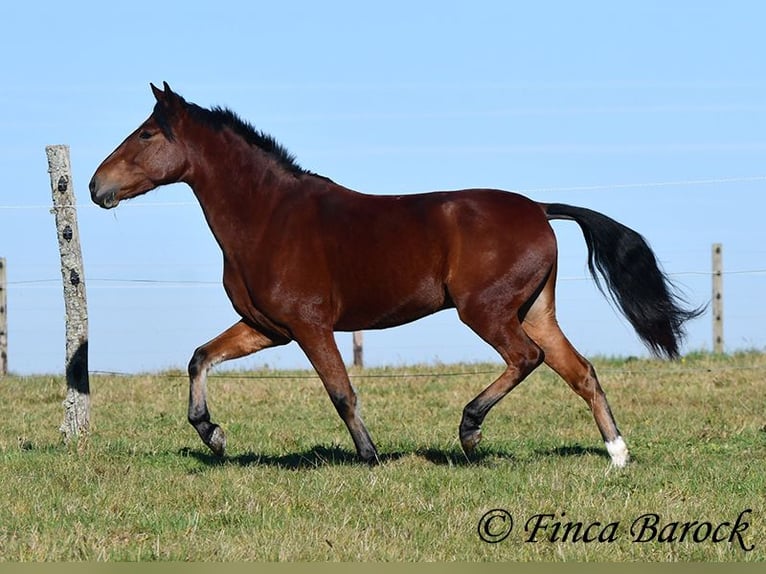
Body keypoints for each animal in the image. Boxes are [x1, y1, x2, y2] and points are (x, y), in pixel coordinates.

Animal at [90, 82, 704, 468]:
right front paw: (213, 435)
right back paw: (617, 456)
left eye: (147, 135)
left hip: (485, 310)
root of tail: (538, 209)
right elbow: (199, 358)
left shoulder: (310, 327)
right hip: (535, 311)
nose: (98, 187)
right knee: (581, 372)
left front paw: (370, 457)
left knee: (525, 359)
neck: (267, 216)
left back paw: (470, 431)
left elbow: (341, 392)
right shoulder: (267, 328)